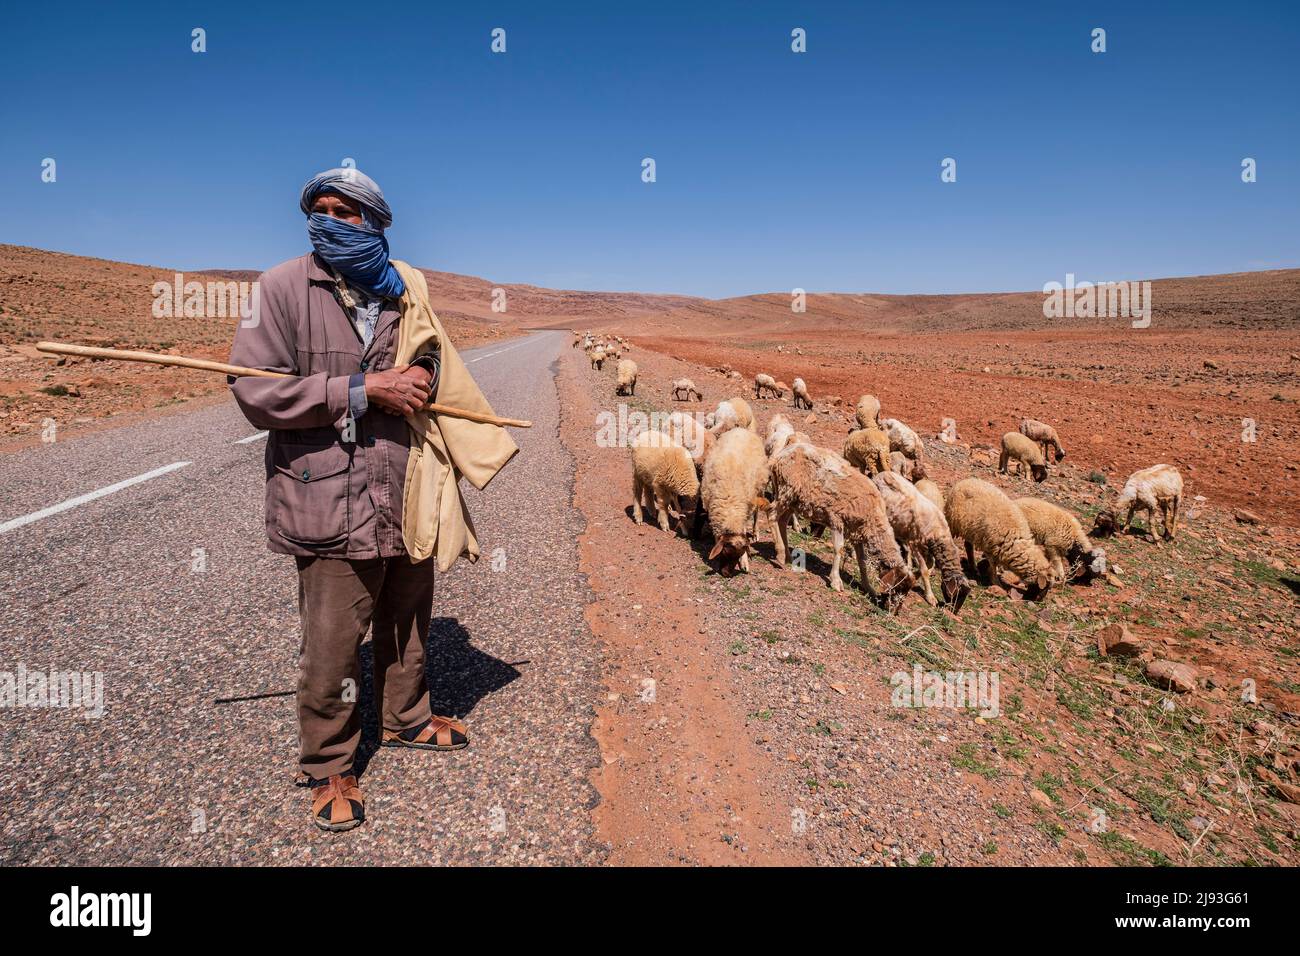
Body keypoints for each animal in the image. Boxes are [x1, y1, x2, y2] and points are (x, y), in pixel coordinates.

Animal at [702, 429, 769, 574]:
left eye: (738, 555)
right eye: (724, 553)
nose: (726, 575)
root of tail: (742, 430)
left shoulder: (743, 512)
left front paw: (745, 563)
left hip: (759, 488)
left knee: (756, 512)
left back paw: (755, 532)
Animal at [764, 444, 909, 608]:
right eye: (898, 587)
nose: (890, 609)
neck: (873, 516)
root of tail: (781, 455)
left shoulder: (857, 531)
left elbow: (862, 561)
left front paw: (868, 587)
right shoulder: (836, 519)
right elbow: (838, 549)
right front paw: (836, 581)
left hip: (793, 498)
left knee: (782, 521)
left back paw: (788, 555)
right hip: (787, 489)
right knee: (771, 514)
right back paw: (781, 554)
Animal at [878, 470, 972, 613]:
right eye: (957, 594)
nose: (953, 612)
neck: (937, 529)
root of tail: (882, 474)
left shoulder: (926, 548)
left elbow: (929, 566)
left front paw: (914, 573)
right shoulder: (916, 544)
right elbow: (924, 570)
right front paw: (930, 597)